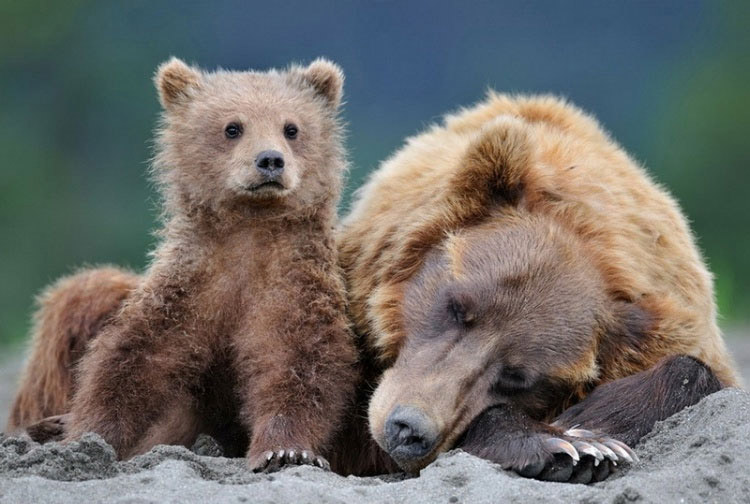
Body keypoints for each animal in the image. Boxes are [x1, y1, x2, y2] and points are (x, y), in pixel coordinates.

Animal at [338, 92, 744, 482]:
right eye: (456, 306)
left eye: (518, 376)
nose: (409, 429)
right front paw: (569, 445)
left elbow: (694, 370)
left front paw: (584, 436)